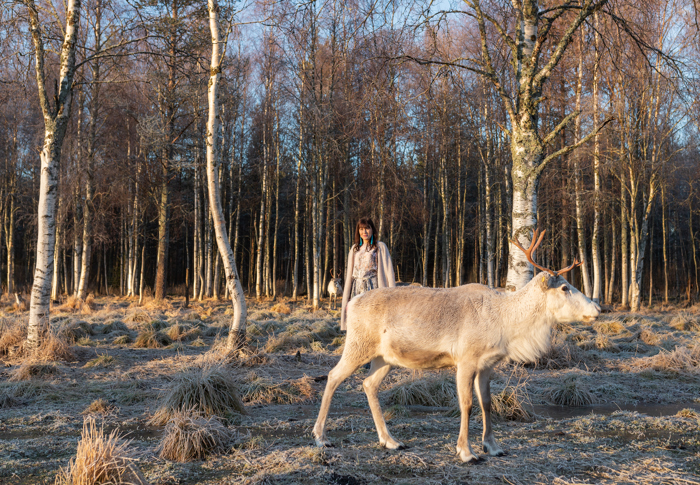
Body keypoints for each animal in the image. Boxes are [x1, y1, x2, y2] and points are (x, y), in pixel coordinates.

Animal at [313, 229, 601, 463]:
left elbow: (487, 403)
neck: (505, 323)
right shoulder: (466, 360)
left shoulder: (487, 365)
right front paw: (466, 452)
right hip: (357, 345)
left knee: (368, 384)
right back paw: (321, 437)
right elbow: (467, 404)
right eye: (564, 287)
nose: (597, 309)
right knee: (333, 376)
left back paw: (390, 441)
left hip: (384, 358)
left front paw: (493, 447)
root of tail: (352, 303)